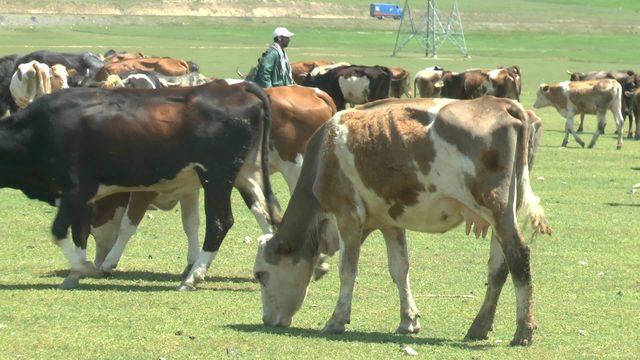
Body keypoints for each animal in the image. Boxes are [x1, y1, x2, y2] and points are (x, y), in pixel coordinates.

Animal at [0, 80, 280, 292]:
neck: (39, 129)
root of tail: (238, 87)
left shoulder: (75, 190)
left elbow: (59, 231)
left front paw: (86, 268)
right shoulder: (81, 198)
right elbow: (80, 233)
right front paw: (75, 274)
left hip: (217, 178)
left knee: (220, 222)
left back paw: (193, 277)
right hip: (246, 177)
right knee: (268, 214)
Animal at [252, 95, 552, 346]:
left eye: (260, 275)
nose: (267, 321)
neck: (323, 154)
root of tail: (501, 103)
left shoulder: (348, 214)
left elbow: (348, 270)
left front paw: (336, 320)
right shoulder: (389, 222)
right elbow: (399, 269)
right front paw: (408, 320)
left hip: (495, 207)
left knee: (518, 255)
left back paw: (524, 330)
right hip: (504, 212)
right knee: (499, 267)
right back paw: (479, 326)